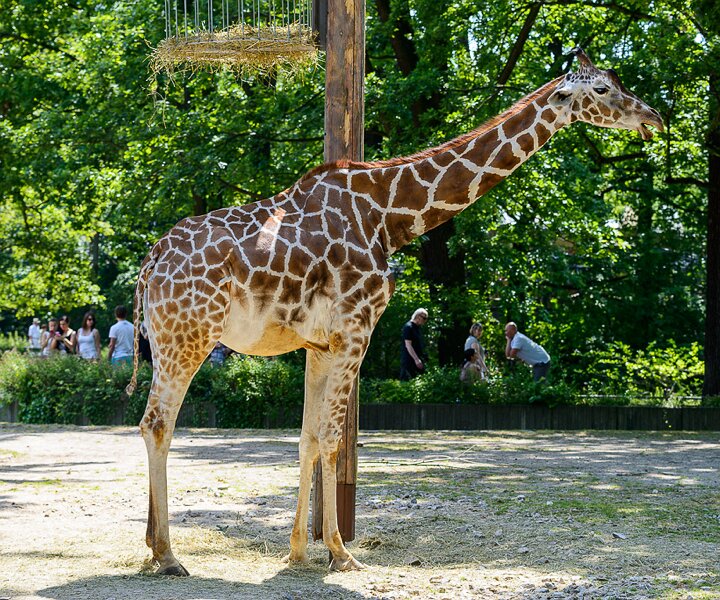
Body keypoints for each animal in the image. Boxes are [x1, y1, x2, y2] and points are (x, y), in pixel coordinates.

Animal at [126, 48, 662, 575]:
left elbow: (307, 438)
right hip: (188, 338)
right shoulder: (355, 331)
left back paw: (154, 546)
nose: (653, 118)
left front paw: (299, 551)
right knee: (157, 424)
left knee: (155, 423)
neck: (388, 216)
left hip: (171, 341)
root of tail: (151, 262)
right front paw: (340, 552)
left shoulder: (320, 345)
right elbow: (333, 439)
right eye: (602, 89)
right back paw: (168, 554)